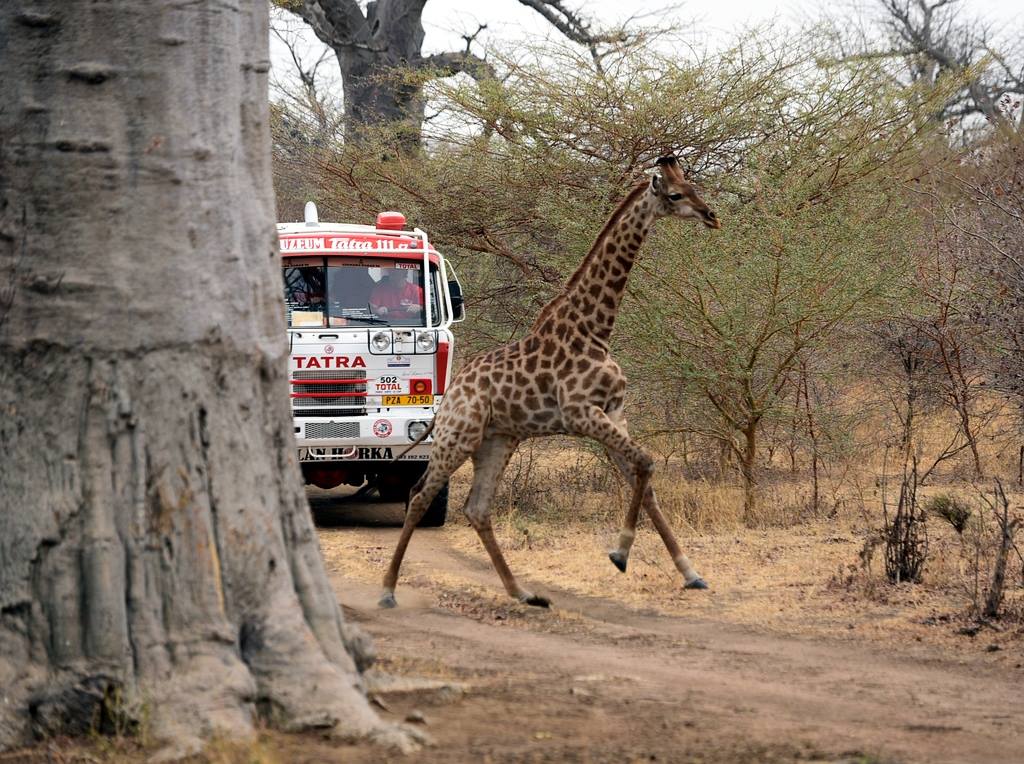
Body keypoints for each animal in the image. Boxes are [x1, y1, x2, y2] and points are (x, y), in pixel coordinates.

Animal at [380, 154, 724, 606]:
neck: (596, 329)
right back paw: (388, 590)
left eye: (693, 187)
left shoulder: (614, 411)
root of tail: (451, 395)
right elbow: (647, 463)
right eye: (675, 194)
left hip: (497, 439)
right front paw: (619, 554)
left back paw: (523, 592)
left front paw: (691, 573)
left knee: (477, 508)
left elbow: (644, 476)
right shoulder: (581, 413)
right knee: (421, 496)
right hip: (460, 435)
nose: (712, 216)